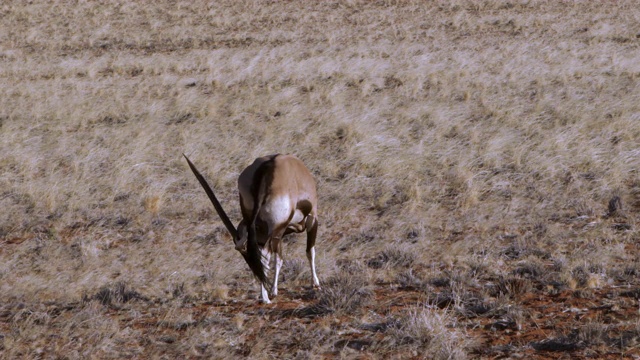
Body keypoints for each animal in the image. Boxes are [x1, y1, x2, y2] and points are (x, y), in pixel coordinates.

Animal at [184, 153, 320, 302]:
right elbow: (310, 251)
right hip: (277, 229)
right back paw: (267, 296)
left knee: (262, 258)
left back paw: (264, 295)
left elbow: (277, 258)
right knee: (267, 257)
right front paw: (315, 284)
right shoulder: (311, 219)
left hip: (266, 230)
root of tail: (269, 166)